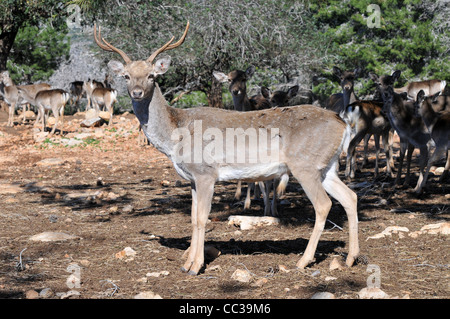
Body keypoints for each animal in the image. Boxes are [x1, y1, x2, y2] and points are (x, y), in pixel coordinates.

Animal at [93, 21, 360, 276]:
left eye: (151, 76)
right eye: (126, 76)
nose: (137, 93)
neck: (175, 133)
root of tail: (342, 123)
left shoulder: (206, 172)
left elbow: (202, 218)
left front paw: (195, 266)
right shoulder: (192, 178)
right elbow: (192, 219)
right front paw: (186, 263)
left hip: (305, 165)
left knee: (324, 204)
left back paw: (304, 261)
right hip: (326, 166)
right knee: (350, 196)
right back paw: (350, 258)